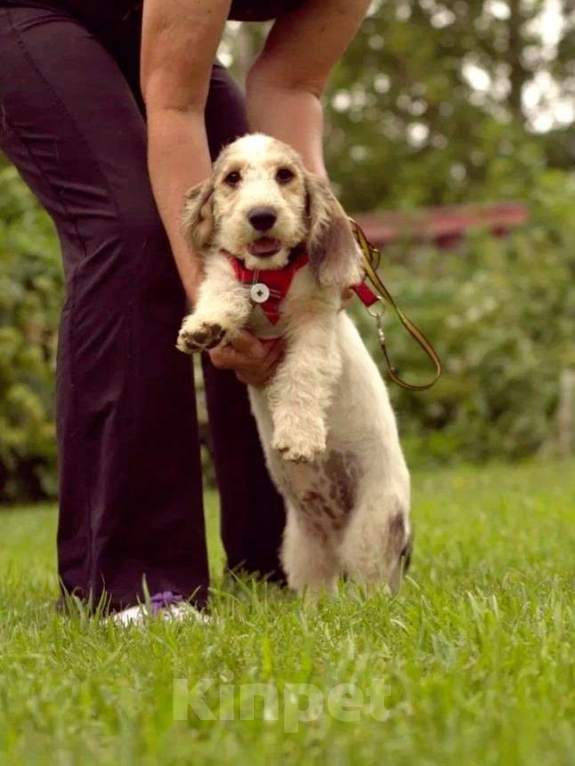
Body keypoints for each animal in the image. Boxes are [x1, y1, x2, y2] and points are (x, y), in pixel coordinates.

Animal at [178, 135, 412, 596]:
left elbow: (302, 374)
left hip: (373, 527)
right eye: (232, 178)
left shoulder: (315, 323)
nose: (262, 216)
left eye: (285, 175)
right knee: (317, 587)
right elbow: (223, 291)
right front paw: (204, 326)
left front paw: (299, 437)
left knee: (370, 582)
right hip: (303, 544)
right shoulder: (230, 277)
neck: (270, 279)